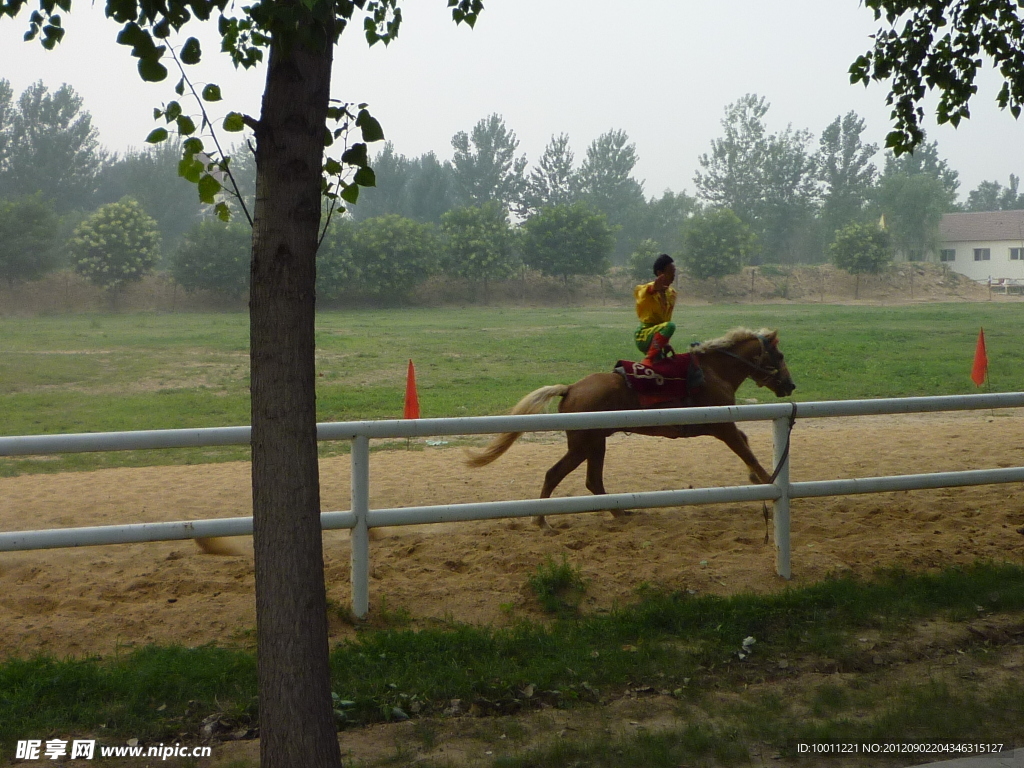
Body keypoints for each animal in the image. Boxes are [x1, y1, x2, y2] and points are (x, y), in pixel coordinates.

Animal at [468, 327, 794, 532]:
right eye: (779, 356)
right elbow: (747, 452)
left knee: (593, 482)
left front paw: (756, 478)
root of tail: (571, 388)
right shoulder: (722, 425)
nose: (790, 385)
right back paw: (542, 521)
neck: (713, 371)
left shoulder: (724, 425)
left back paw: (619, 512)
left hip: (596, 444)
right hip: (583, 445)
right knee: (555, 474)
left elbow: (746, 444)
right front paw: (767, 481)